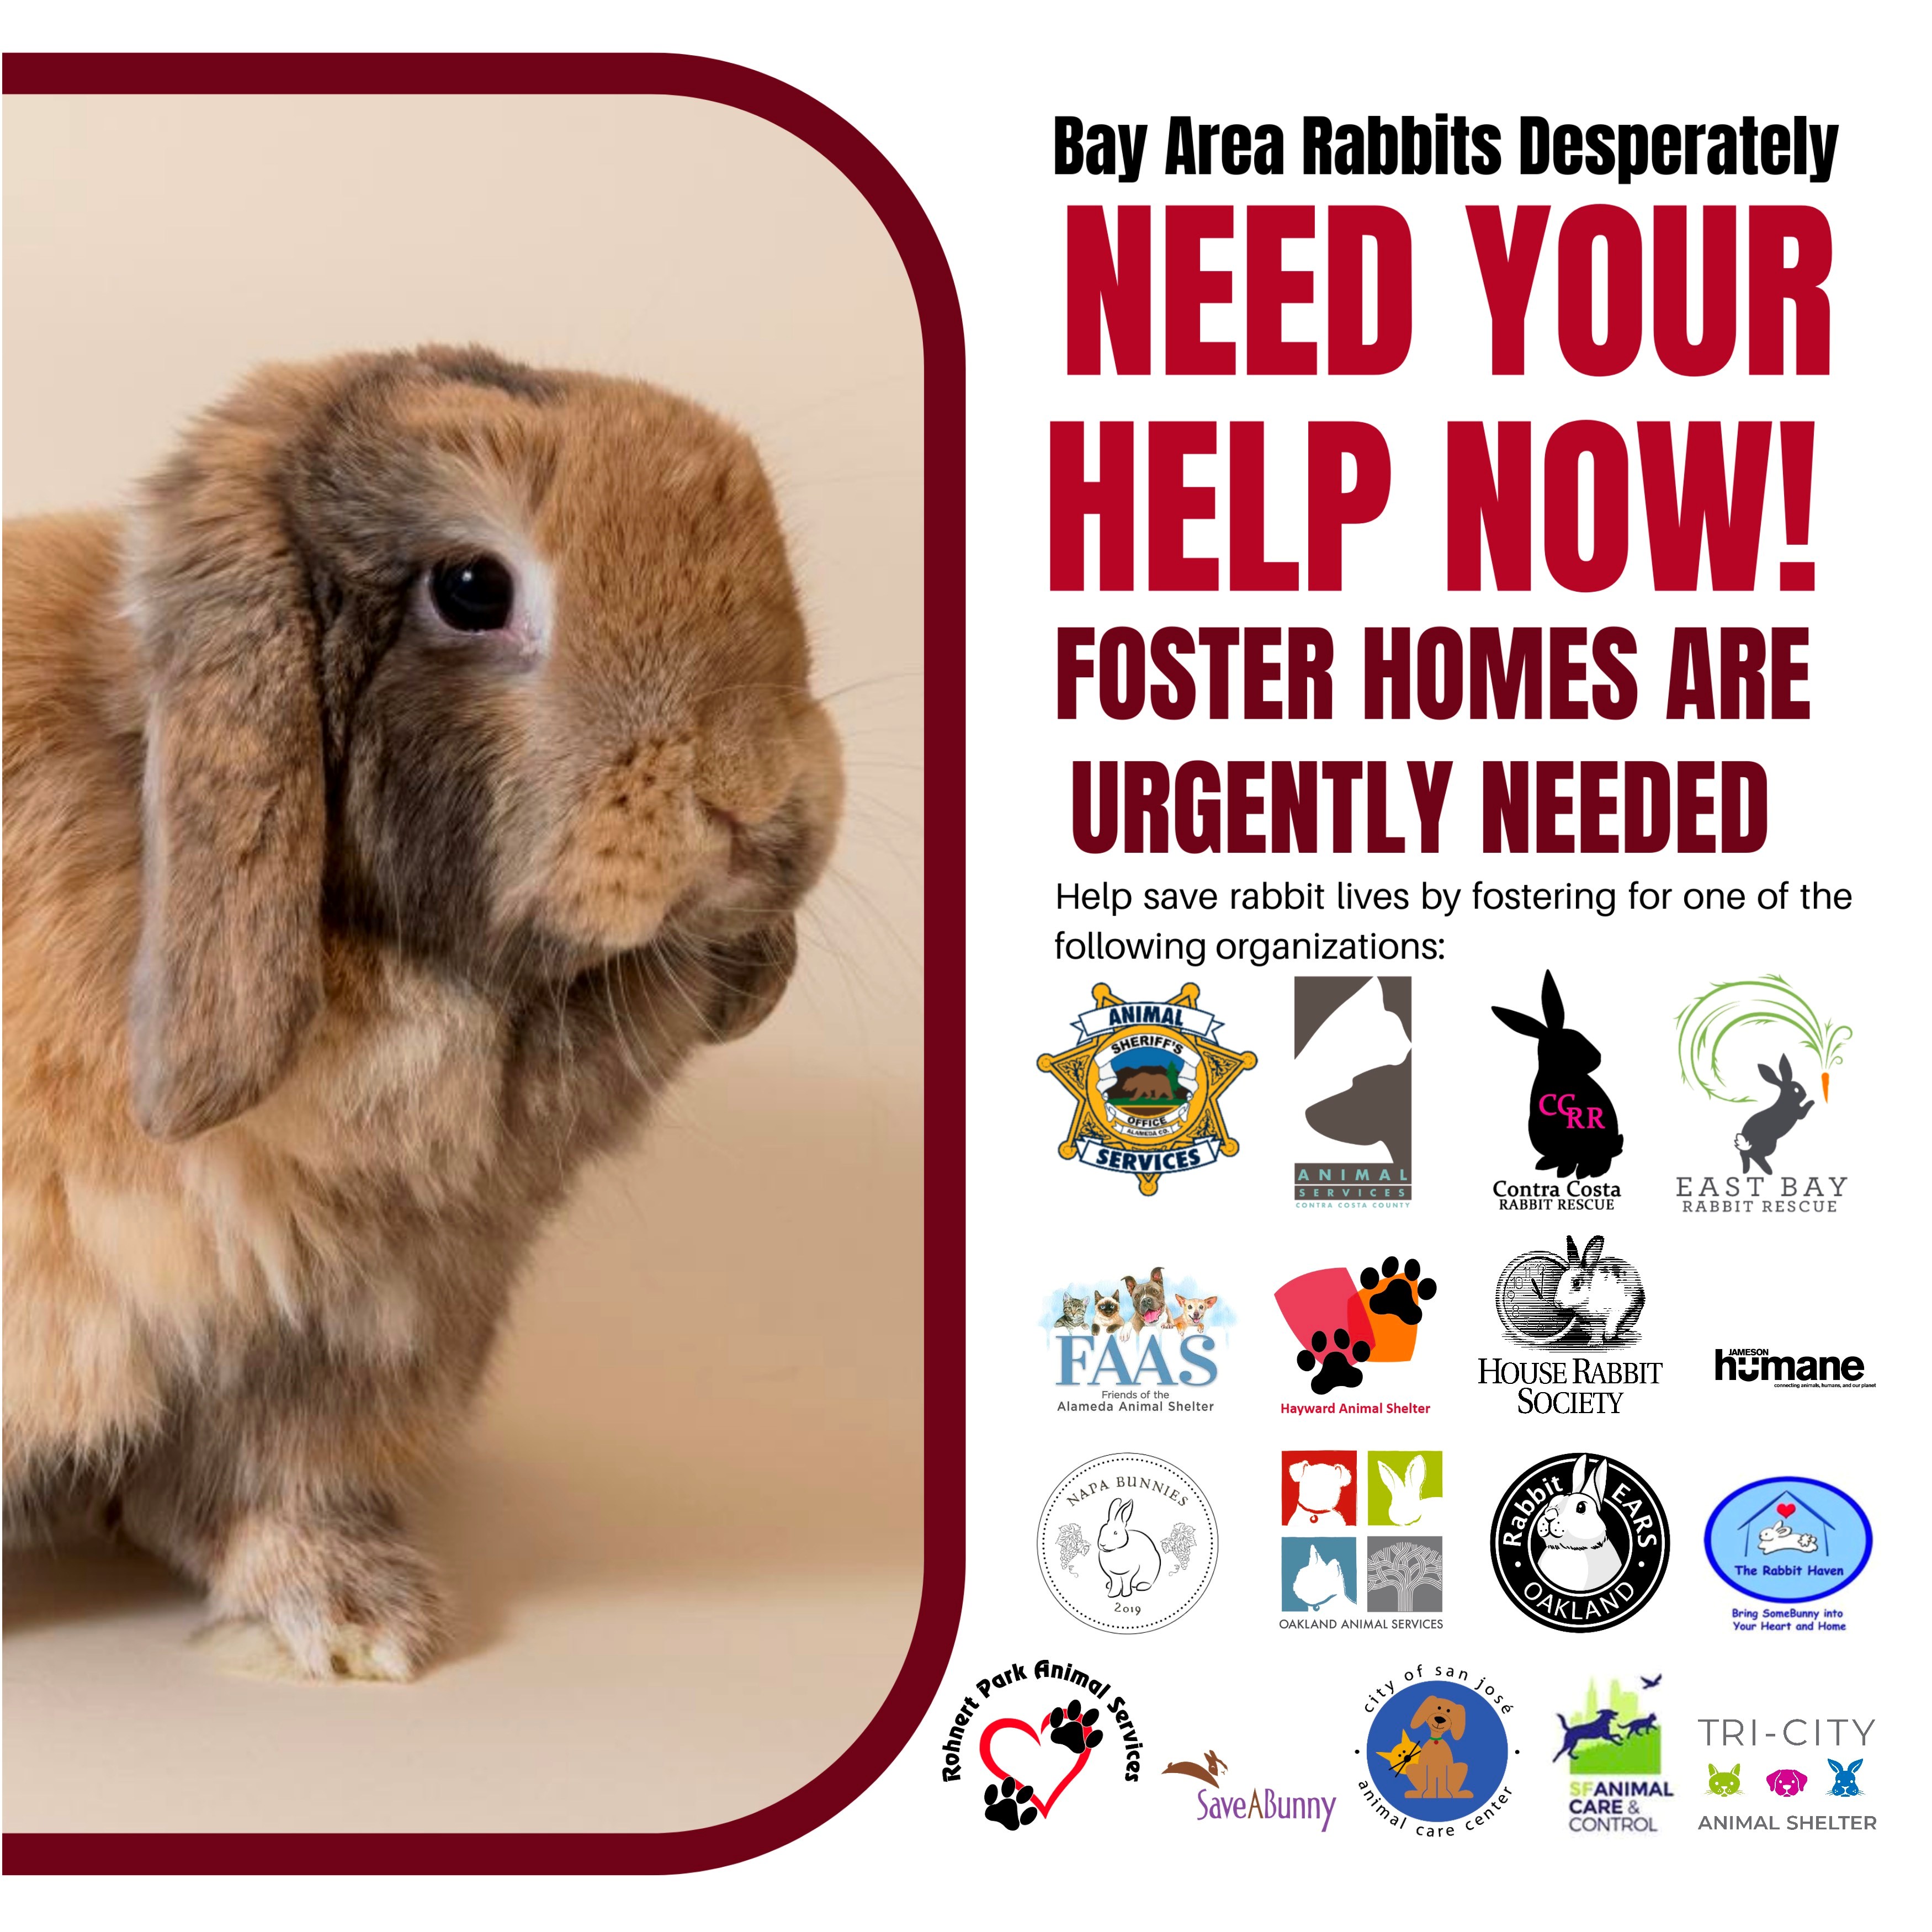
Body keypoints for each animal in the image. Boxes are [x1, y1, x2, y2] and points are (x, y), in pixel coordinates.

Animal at [1094, 1496, 1162, 1597]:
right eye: (1102, 1530)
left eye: (1115, 1533)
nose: (1102, 1545)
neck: (1116, 1550)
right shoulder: (1113, 1575)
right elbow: (1115, 1583)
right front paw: (1112, 1594)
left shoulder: (1130, 1572)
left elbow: (1126, 1582)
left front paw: (1126, 1594)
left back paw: (1142, 1586)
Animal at [1552, 1234, 1645, 1345]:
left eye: (1576, 1283)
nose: (1557, 1302)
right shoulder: (1595, 1320)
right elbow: (1597, 1330)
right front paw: (1594, 1343)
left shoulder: (1621, 1307)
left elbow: (1614, 1319)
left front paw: (1609, 1335)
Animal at [1735, 1054, 1814, 1175]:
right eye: (1796, 1089)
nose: (1805, 1094)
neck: (1787, 1099)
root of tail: (1746, 1141)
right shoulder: (1799, 1113)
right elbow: (1804, 1111)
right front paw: (1812, 1102)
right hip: (1769, 1145)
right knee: (1755, 1155)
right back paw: (1768, 1171)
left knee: (1745, 1154)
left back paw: (1746, 1171)